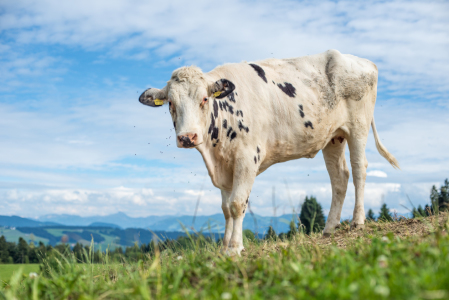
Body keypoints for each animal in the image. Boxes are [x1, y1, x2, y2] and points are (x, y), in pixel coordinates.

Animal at [138, 49, 398, 255]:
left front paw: (235, 249)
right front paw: (225, 247)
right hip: (334, 137)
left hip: (358, 127)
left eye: (204, 99)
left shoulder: (247, 158)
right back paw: (329, 229)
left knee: (359, 169)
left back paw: (358, 221)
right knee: (340, 177)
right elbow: (226, 209)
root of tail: (363, 61)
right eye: (171, 103)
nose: (187, 137)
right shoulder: (225, 166)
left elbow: (237, 204)